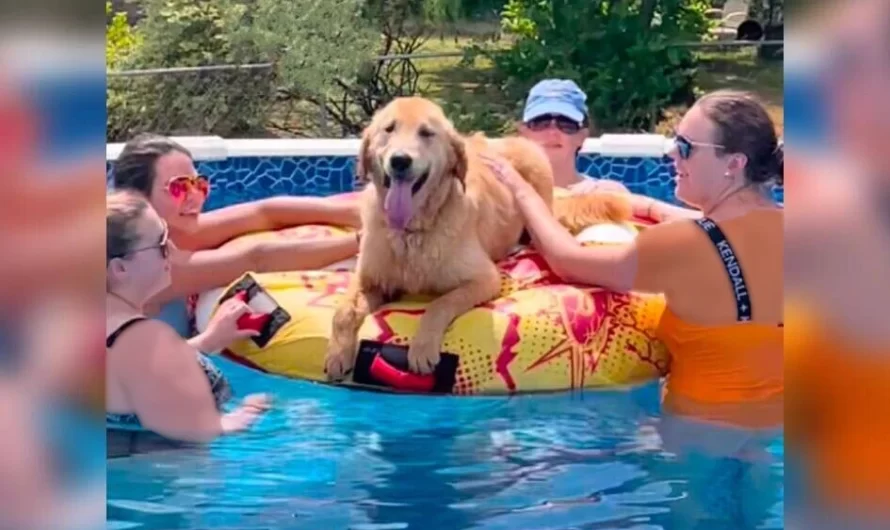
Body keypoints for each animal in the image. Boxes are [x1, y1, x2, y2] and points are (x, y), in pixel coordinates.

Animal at [326, 95, 632, 376]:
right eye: (389, 129)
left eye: (426, 133)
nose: (400, 161)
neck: (412, 231)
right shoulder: (369, 278)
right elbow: (343, 312)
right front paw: (338, 353)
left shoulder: (485, 279)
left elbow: (439, 304)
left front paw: (422, 347)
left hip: (535, 166)